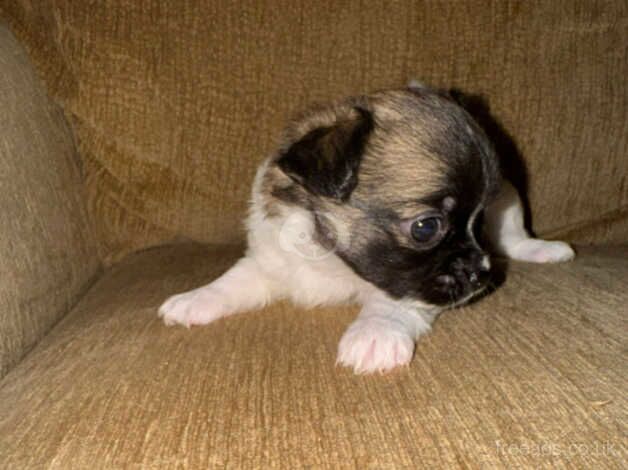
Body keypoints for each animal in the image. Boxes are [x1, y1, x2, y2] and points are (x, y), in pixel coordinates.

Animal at [158, 82, 576, 372]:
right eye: (427, 228)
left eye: (480, 219)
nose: (480, 272)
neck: (330, 257)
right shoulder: (269, 262)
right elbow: (232, 281)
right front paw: (195, 298)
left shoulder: (411, 284)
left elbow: (391, 301)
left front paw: (375, 333)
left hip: (510, 197)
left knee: (516, 236)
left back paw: (545, 250)